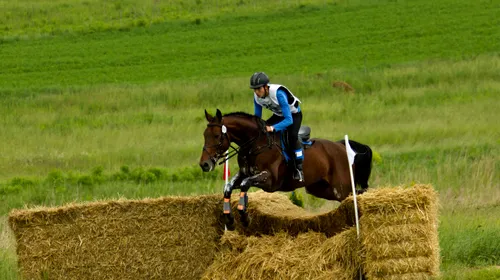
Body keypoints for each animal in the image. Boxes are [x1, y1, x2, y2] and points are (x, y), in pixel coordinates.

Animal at [199, 108, 372, 229]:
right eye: (204, 135)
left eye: (216, 136)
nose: (204, 164)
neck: (255, 144)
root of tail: (341, 146)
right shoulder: (243, 174)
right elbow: (228, 187)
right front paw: (229, 220)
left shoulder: (269, 180)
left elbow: (245, 184)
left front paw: (244, 217)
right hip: (320, 189)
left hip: (340, 188)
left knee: (355, 194)